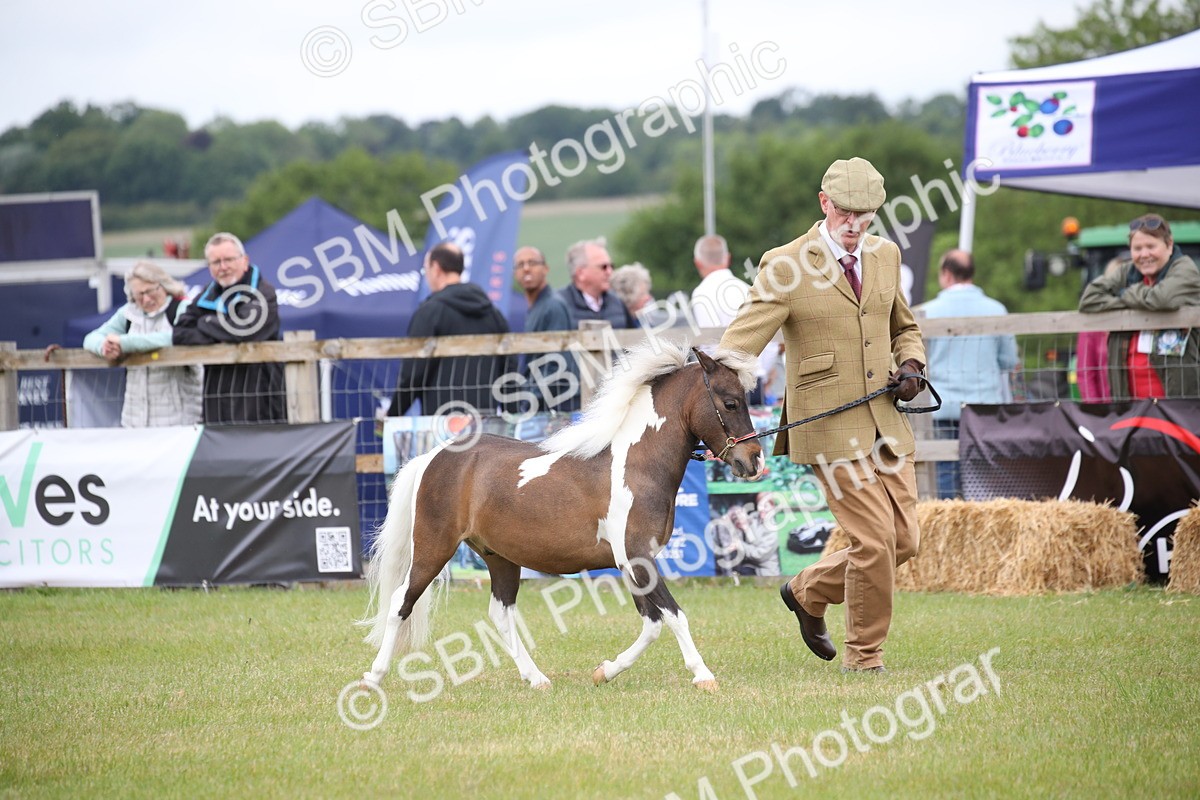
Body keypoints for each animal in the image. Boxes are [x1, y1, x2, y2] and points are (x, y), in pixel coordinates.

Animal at [360, 341, 765, 693]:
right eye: (730, 402)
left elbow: (652, 623)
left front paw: (605, 671)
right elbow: (674, 615)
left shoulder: (632, 564)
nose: (753, 461)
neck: (637, 464)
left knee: (500, 614)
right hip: (433, 548)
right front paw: (703, 676)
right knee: (400, 602)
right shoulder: (637, 557)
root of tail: (434, 456)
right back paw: (373, 677)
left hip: (500, 557)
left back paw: (537, 679)